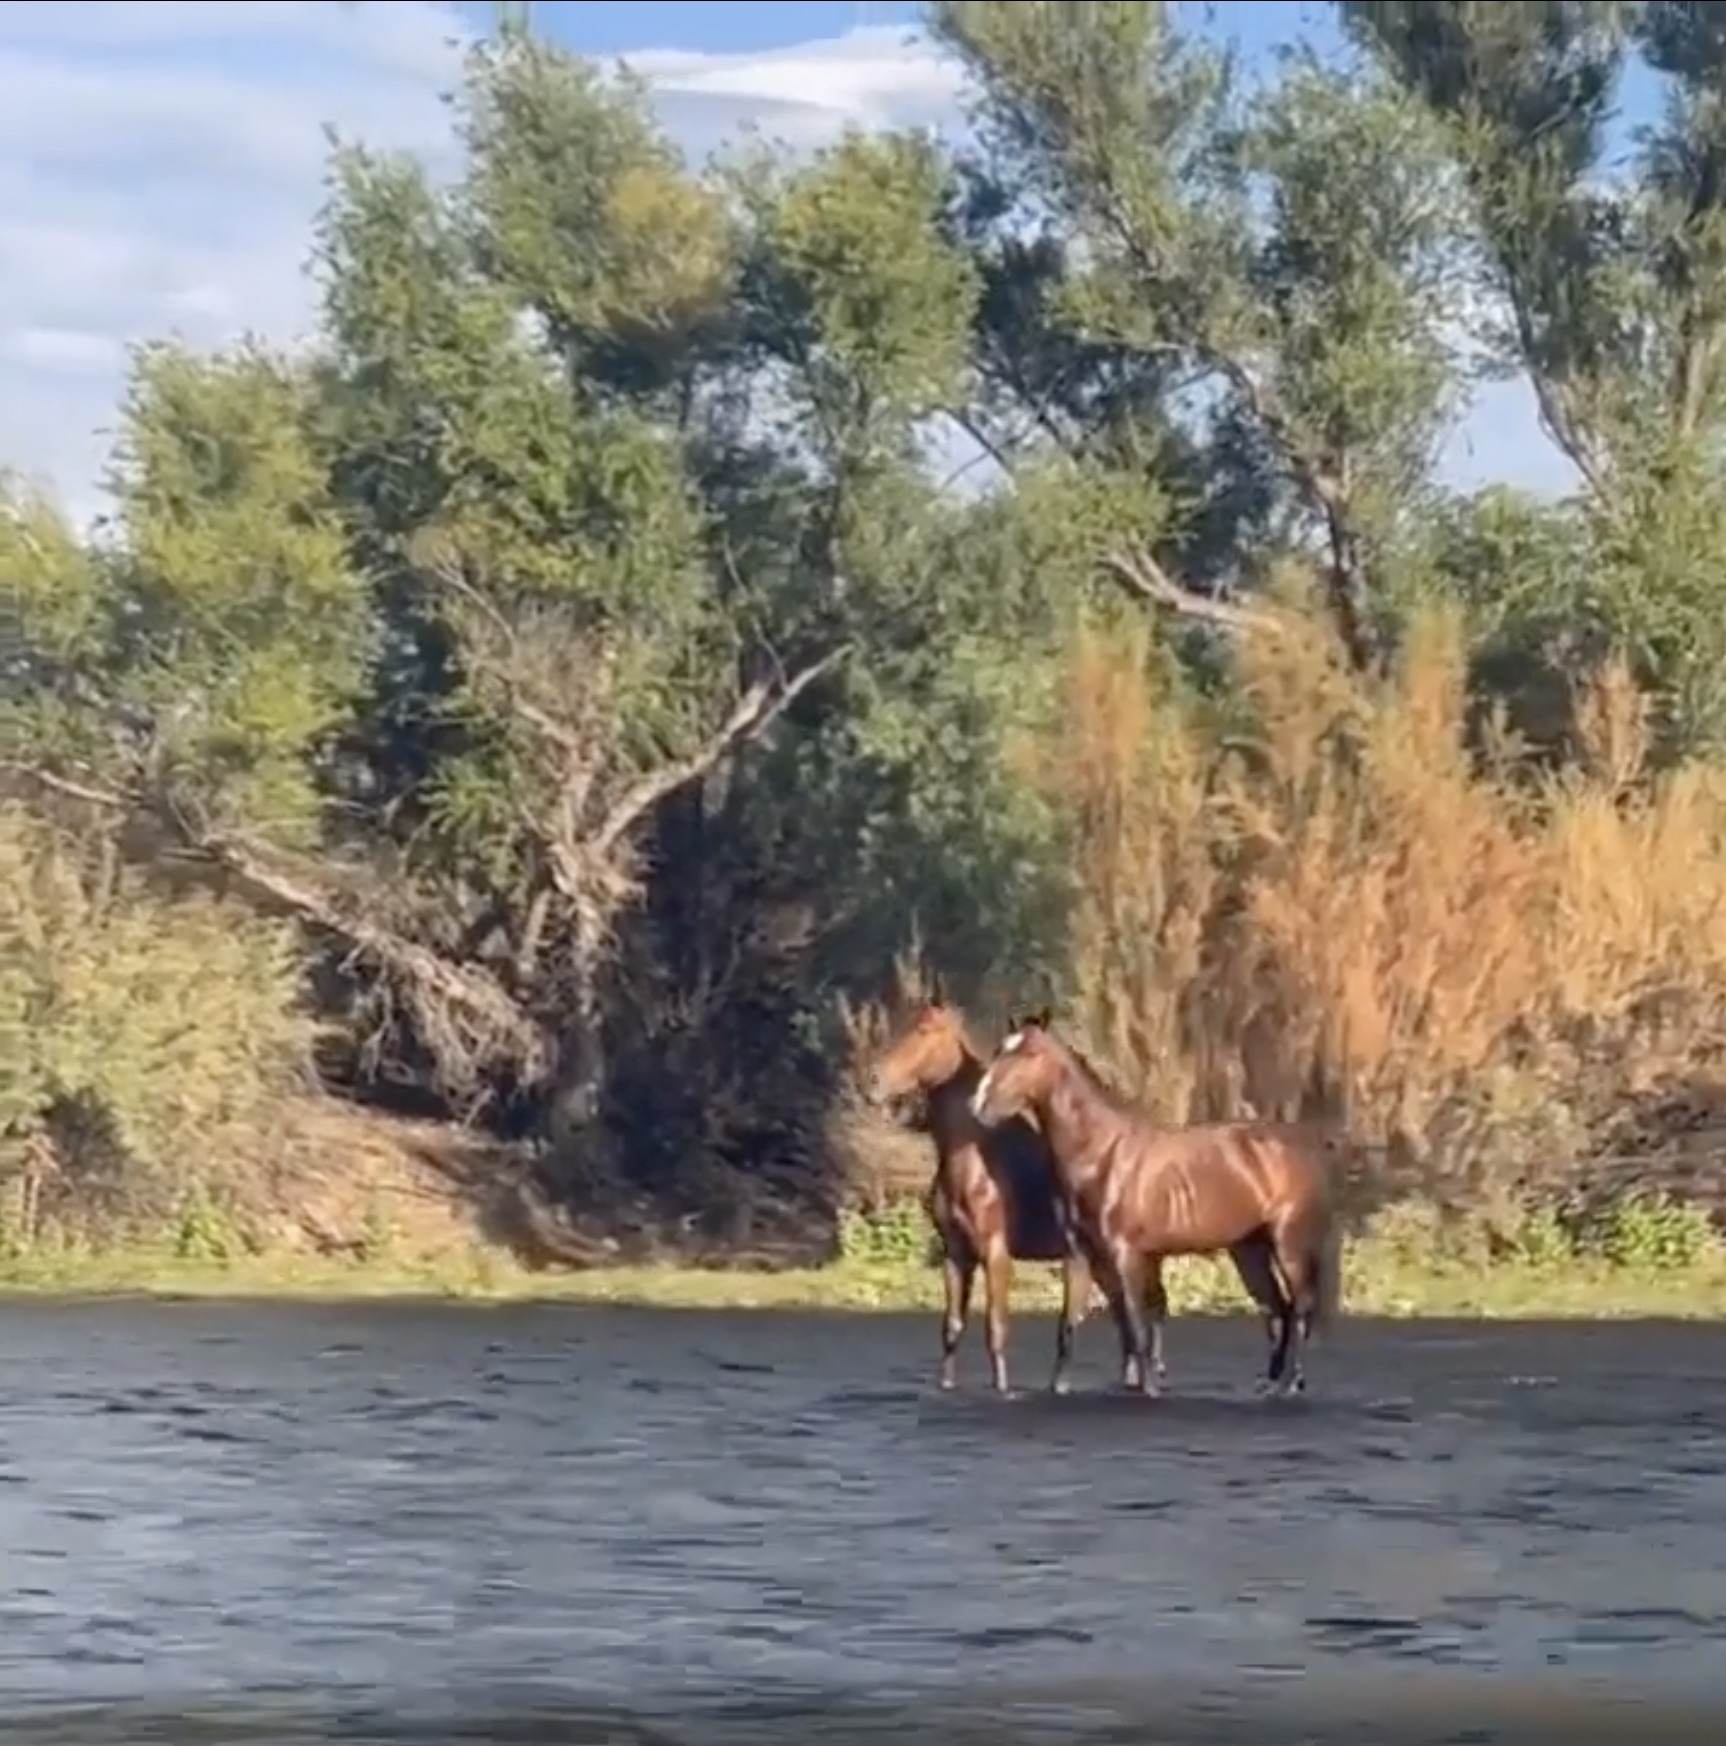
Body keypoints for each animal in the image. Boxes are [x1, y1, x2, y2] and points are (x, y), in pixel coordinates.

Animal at [862, 1012, 1172, 1389]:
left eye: (925, 1031)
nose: (874, 1080)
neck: (972, 1159)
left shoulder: (995, 1253)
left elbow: (996, 1329)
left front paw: (1002, 1388)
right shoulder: (956, 1254)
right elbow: (952, 1329)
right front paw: (946, 1385)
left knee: (1150, 1312)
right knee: (1126, 1322)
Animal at [963, 1012, 1340, 1389]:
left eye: (1030, 1054)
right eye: (998, 1050)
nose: (977, 1105)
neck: (1099, 1153)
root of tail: (1305, 1144)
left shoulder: (1126, 1253)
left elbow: (1136, 1324)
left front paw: (1148, 1385)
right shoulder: (1078, 1253)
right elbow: (1069, 1324)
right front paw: (1061, 1386)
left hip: (1289, 1245)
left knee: (1300, 1306)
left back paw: (1291, 1382)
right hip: (1250, 1251)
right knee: (1277, 1309)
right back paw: (1271, 1383)